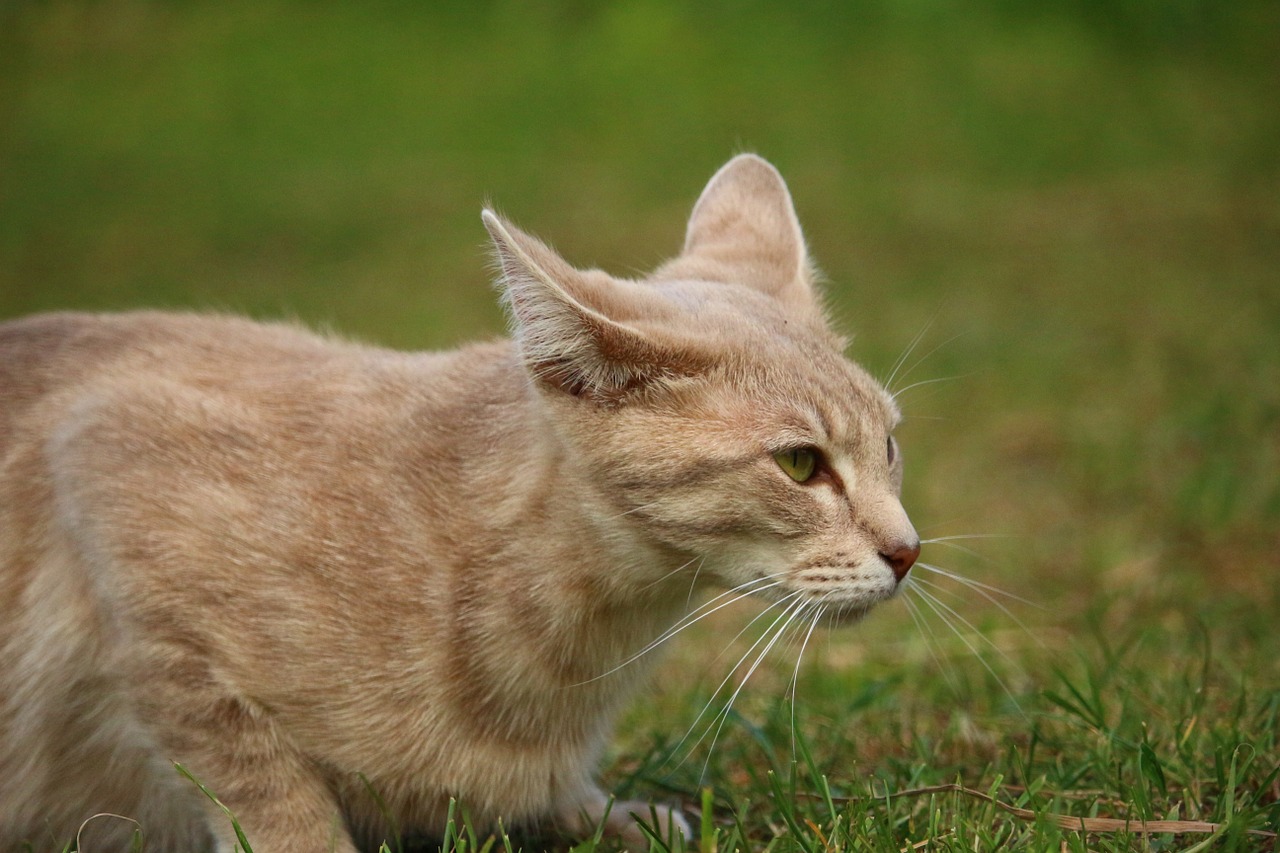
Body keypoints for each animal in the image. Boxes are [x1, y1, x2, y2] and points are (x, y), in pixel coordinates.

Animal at [0, 154, 921, 850]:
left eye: (889, 444)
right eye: (801, 463)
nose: (909, 552)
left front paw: (592, 809)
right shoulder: (105, 461)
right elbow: (260, 779)